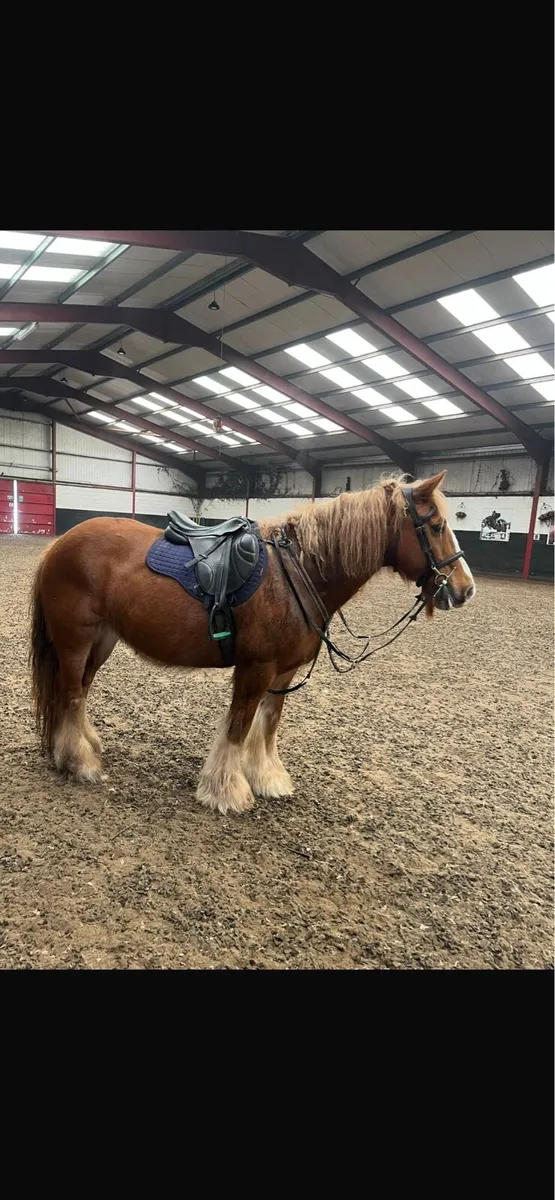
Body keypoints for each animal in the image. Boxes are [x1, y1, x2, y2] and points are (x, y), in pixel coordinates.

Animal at [29, 470, 475, 816]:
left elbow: (268, 723)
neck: (298, 573)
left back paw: (82, 747)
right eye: (435, 526)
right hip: (76, 641)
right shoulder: (256, 668)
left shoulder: (284, 671)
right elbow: (239, 725)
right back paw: (79, 763)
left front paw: (267, 777)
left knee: (79, 692)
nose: (465, 589)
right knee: (70, 693)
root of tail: (59, 545)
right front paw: (225, 790)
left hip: (102, 642)